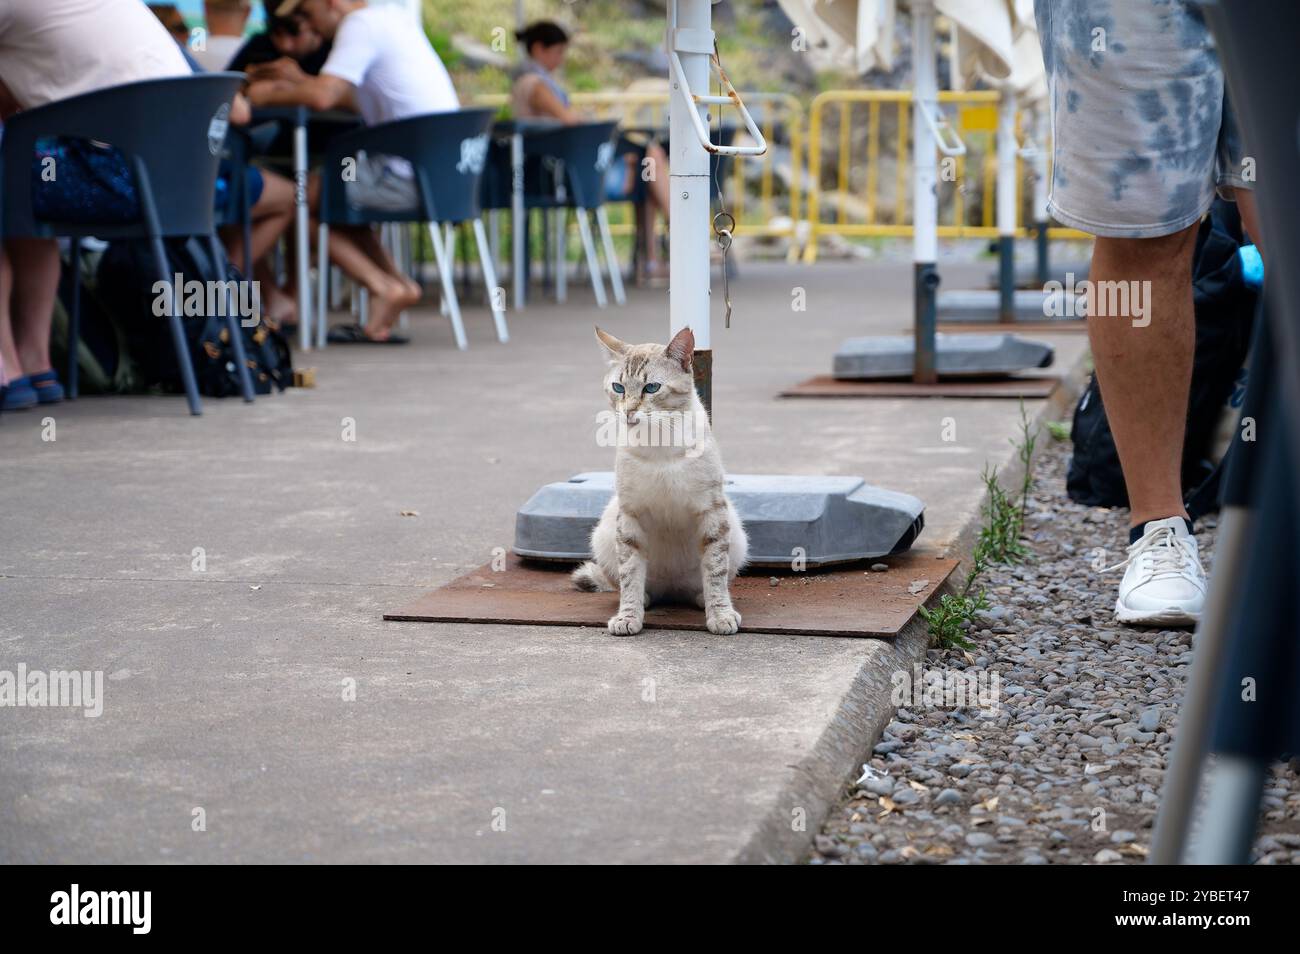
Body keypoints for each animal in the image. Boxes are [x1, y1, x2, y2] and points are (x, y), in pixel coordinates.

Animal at [574, 327, 748, 634]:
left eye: (651, 388)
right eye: (618, 388)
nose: (629, 412)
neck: (659, 442)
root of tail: (672, 591)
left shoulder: (712, 511)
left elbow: (715, 571)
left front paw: (720, 615)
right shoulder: (630, 515)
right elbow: (630, 573)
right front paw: (628, 617)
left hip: (736, 534)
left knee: (710, 581)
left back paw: (701, 598)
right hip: (604, 534)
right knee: (628, 584)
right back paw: (644, 599)